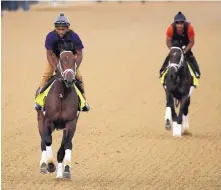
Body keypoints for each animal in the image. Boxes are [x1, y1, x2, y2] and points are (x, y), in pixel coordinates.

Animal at [37, 48, 79, 178]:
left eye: (74, 60)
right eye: (61, 59)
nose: (69, 79)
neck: (61, 95)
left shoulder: (71, 123)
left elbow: (67, 144)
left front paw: (66, 170)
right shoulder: (48, 121)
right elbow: (47, 140)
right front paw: (50, 165)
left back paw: (60, 174)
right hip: (40, 120)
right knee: (43, 142)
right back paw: (43, 164)